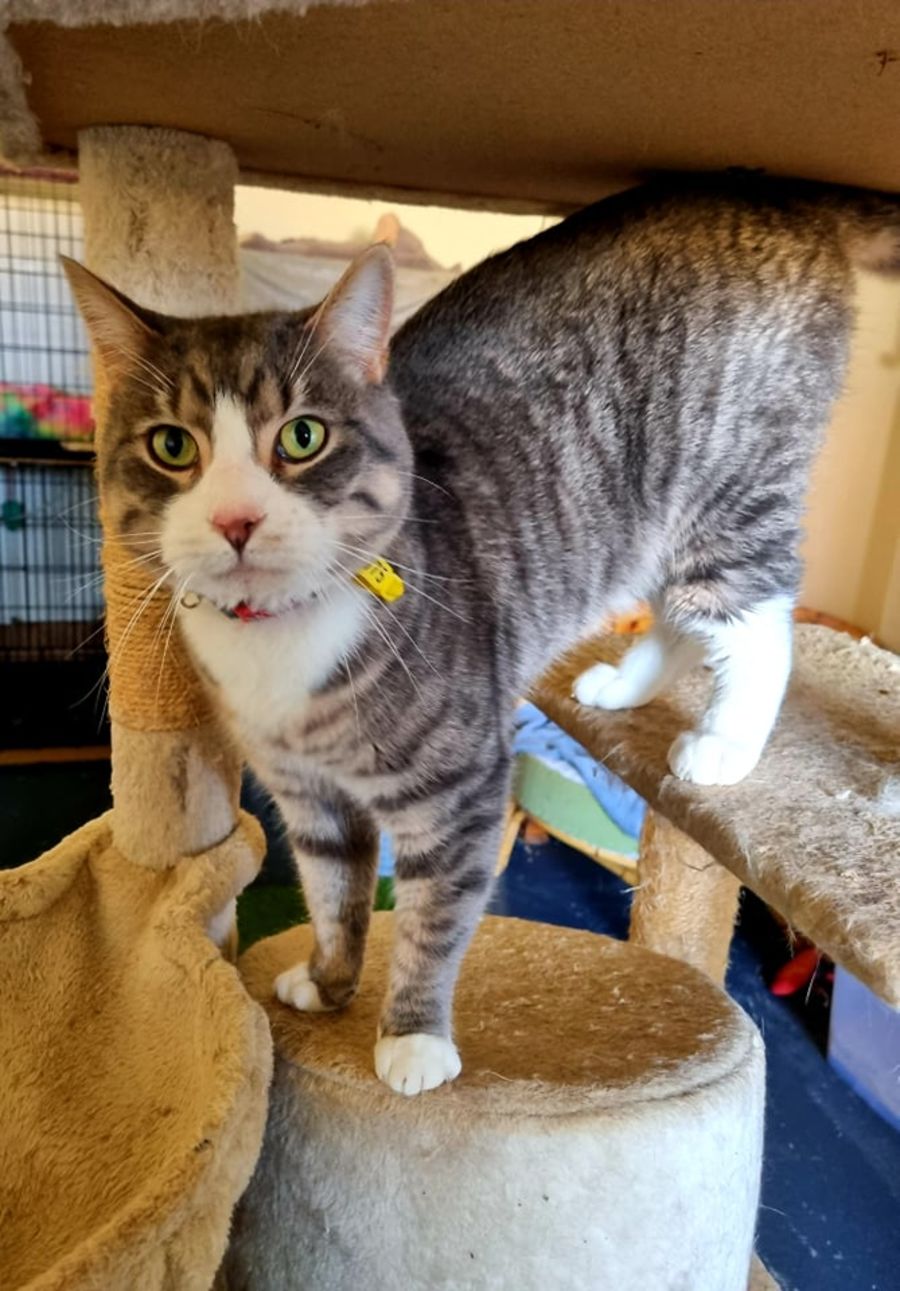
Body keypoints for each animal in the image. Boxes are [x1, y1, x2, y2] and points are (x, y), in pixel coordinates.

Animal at [65, 173, 900, 1095]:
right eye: (173, 446)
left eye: (303, 435)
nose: (236, 519)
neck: (280, 644)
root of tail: (759, 185)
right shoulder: (306, 792)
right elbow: (333, 891)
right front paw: (328, 981)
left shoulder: (459, 783)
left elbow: (433, 914)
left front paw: (413, 1037)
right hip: (639, 524)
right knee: (679, 616)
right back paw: (622, 685)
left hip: (730, 483)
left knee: (755, 620)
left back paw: (726, 741)